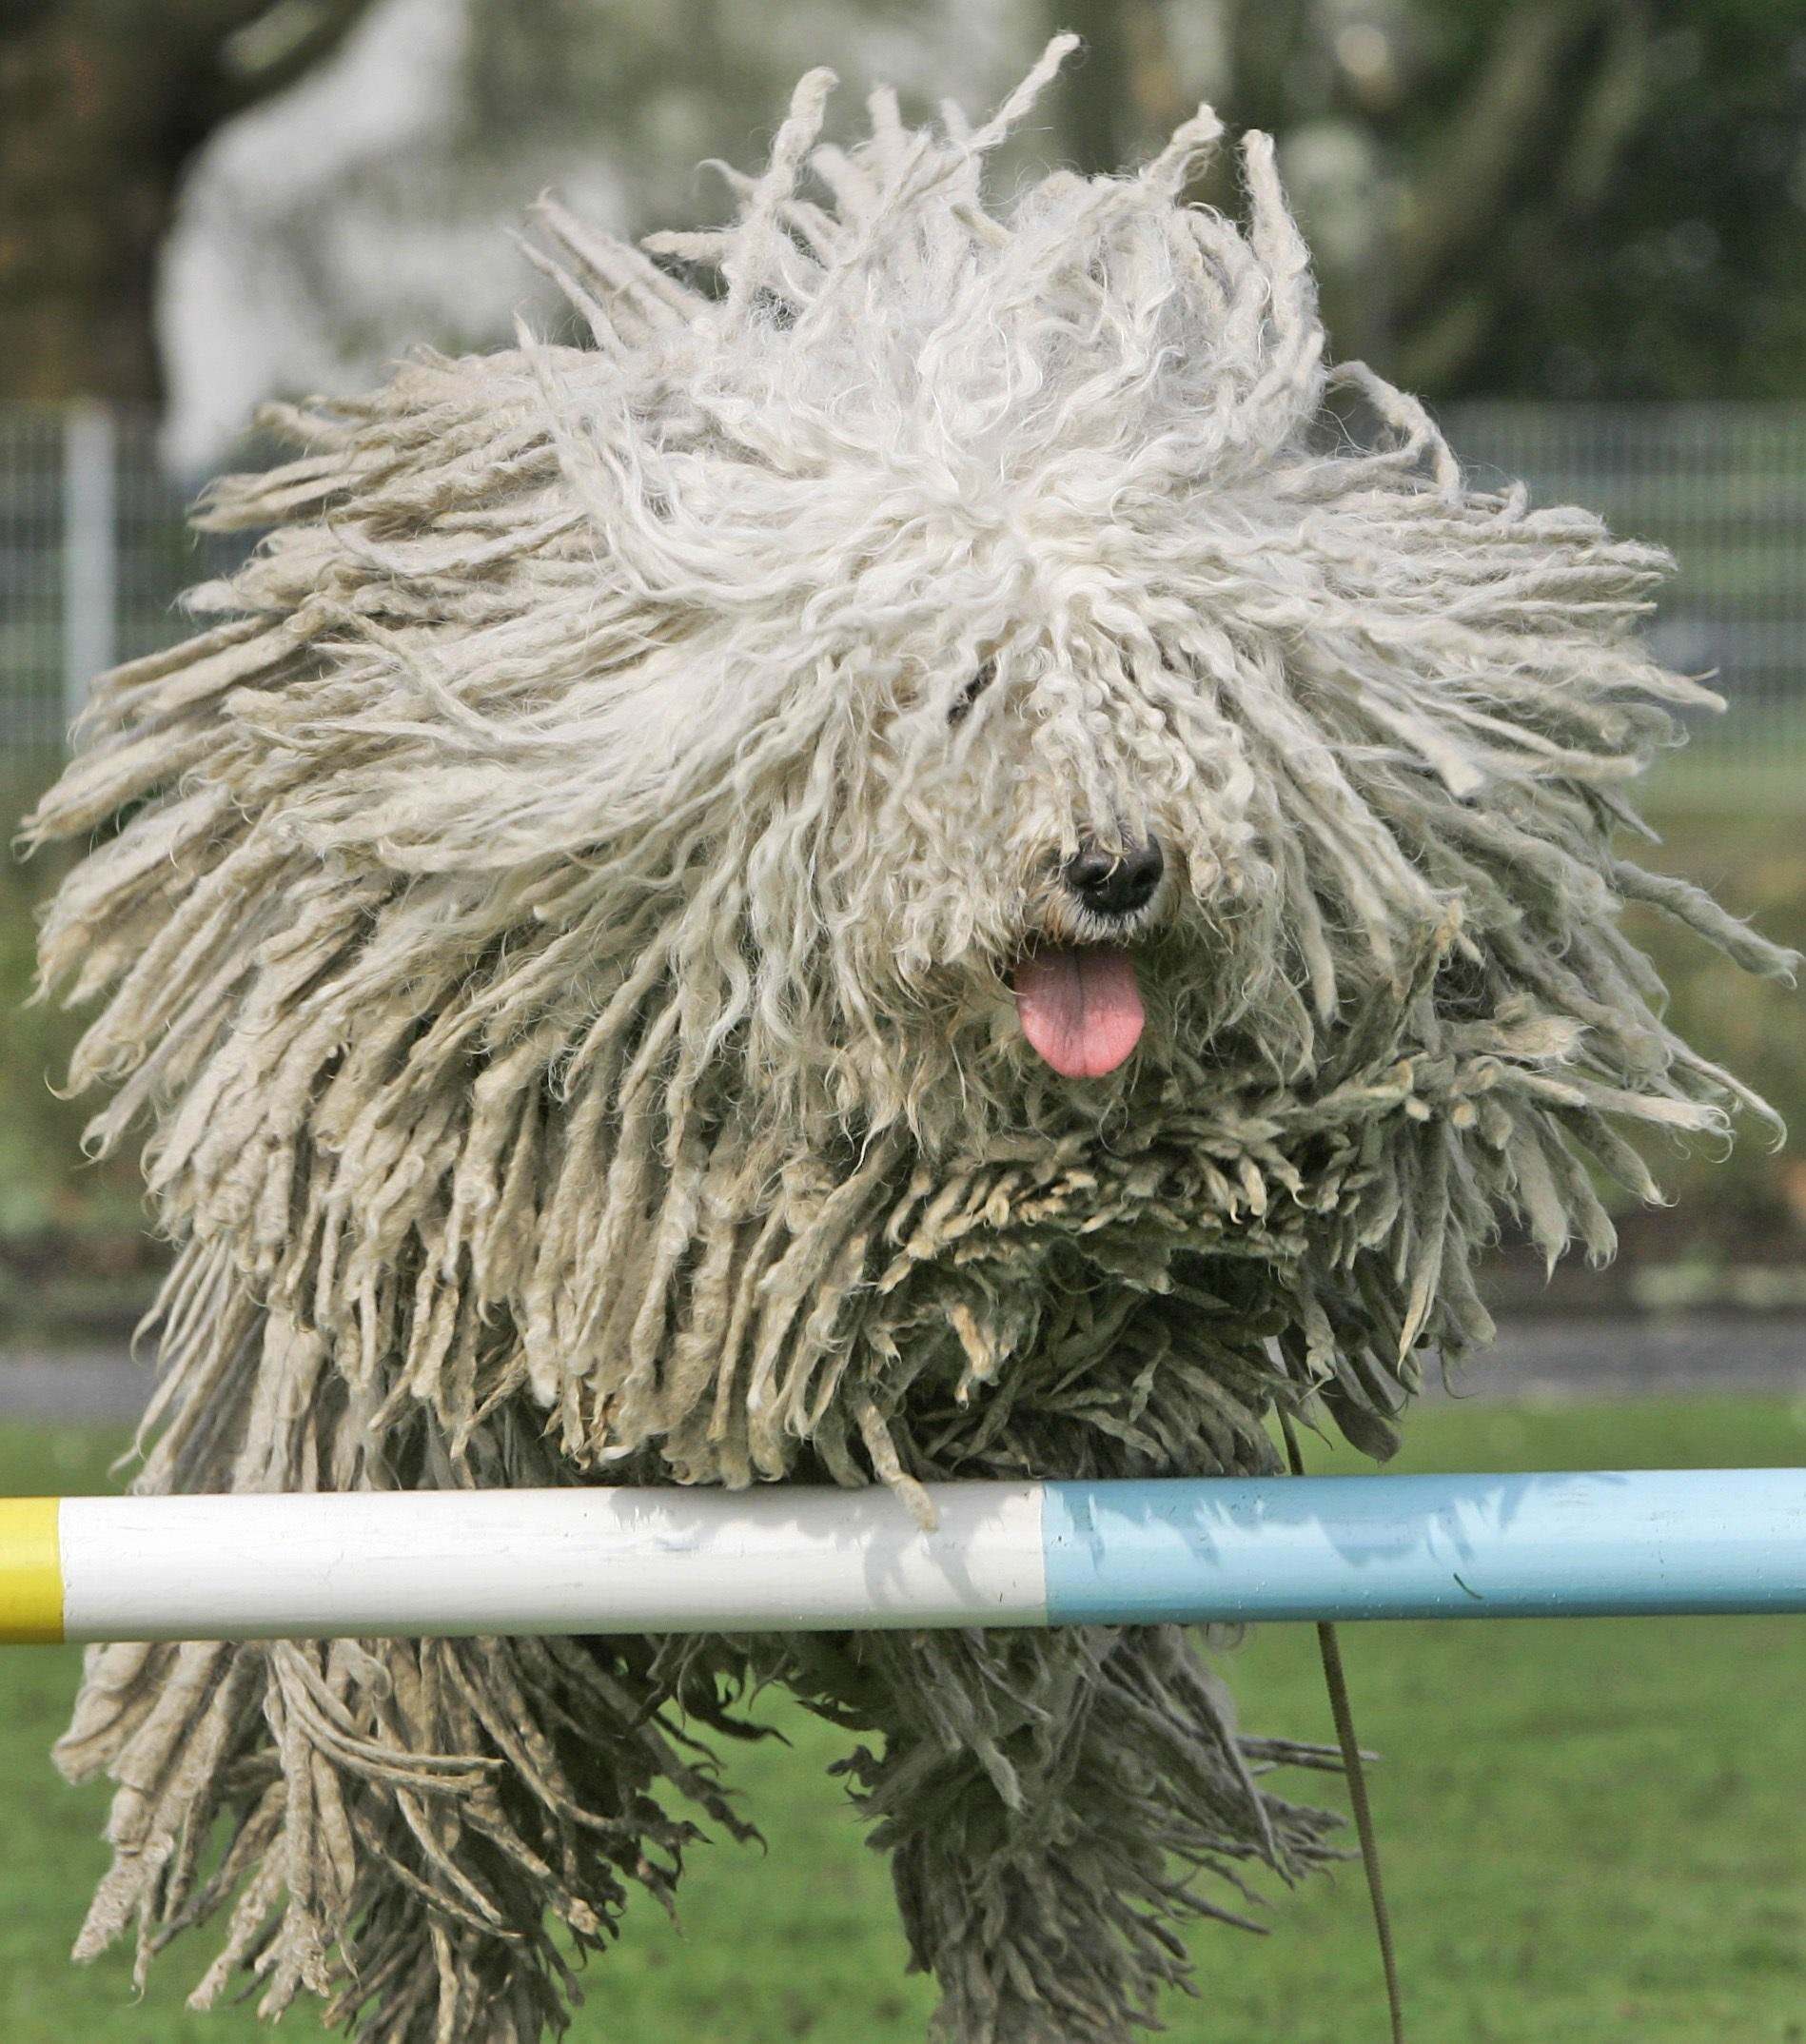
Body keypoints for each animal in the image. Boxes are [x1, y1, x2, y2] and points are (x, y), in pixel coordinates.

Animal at [28, 39, 1789, 2044]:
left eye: (1181, 698)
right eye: (964, 693)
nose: (1115, 866)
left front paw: (1242, 1163)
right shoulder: (619, 1129)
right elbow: (788, 1251)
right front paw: (1005, 1218)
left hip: (1041, 1662)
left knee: (1029, 1811)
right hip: (394, 1539)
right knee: (435, 1823)